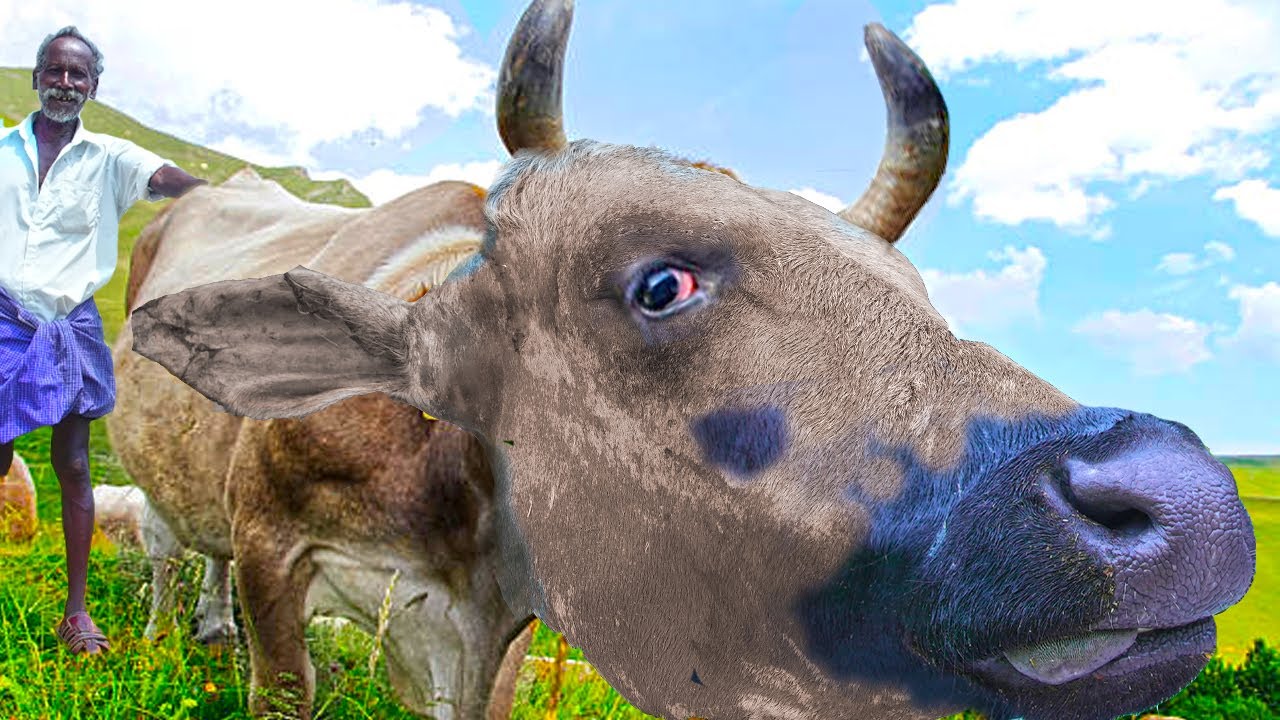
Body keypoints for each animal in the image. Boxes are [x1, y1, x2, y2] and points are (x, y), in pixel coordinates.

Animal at [129, 2, 1257, 720]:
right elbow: (281, 683)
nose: (1186, 502)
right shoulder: (274, 550)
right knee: (177, 551)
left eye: (920, 299)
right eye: (659, 285)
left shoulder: (498, 636)